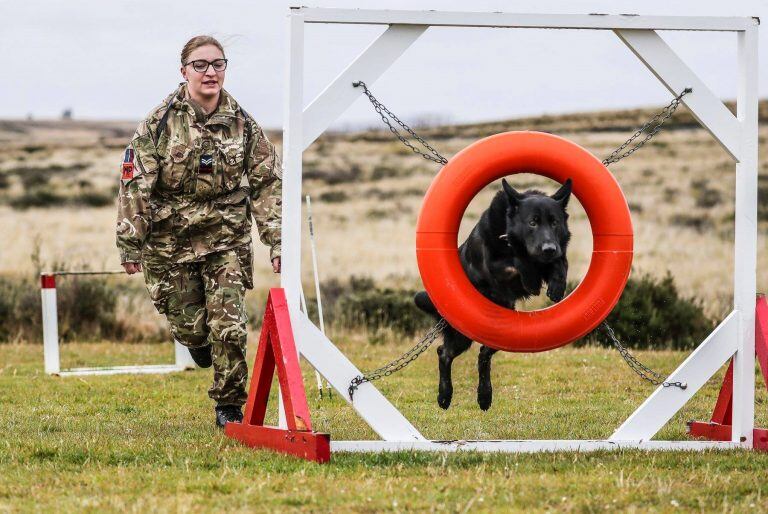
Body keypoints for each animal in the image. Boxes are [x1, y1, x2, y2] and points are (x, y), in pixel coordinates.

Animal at [414, 178, 568, 410]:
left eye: (554, 223)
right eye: (532, 223)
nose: (548, 248)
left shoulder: (556, 250)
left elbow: (560, 263)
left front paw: (557, 285)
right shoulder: (495, 266)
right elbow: (517, 262)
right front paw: (530, 278)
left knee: (483, 354)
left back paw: (484, 395)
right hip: (461, 333)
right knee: (444, 353)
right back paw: (445, 395)